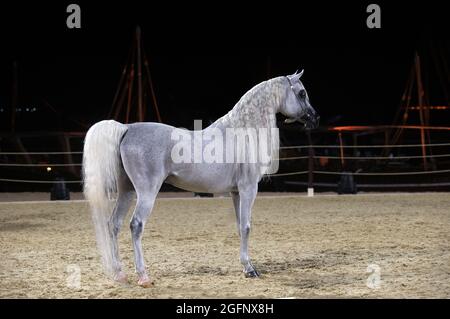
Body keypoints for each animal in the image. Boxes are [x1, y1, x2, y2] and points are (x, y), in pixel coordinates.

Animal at [82, 70, 318, 288]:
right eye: (301, 93)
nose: (315, 119)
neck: (242, 132)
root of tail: (127, 128)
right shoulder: (248, 188)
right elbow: (247, 226)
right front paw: (250, 270)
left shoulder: (236, 192)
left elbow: (239, 226)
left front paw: (245, 266)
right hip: (146, 192)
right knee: (136, 225)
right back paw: (143, 277)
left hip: (127, 190)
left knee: (114, 224)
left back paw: (119, 274)